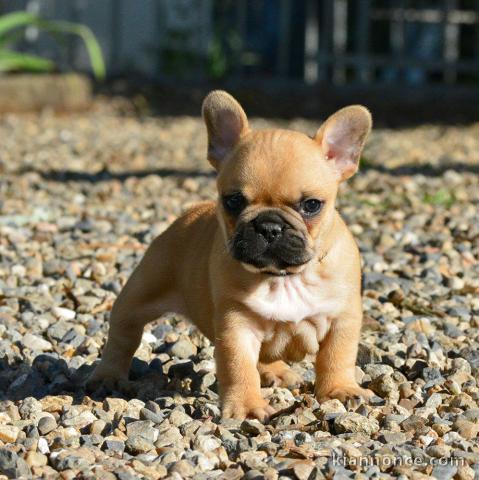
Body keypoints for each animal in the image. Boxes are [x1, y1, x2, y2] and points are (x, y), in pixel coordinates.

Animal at [90, 90, 376, 420]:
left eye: (312, 205)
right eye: (234, 201)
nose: (268, 226)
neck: (283, 277)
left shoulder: (343, 319)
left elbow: (337, 356)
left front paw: (339, 390)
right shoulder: (236, 326)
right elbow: (239, 367)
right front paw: (247, 406)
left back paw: (277, 372)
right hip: (140, 293)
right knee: (123, 335)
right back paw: (107, 376)